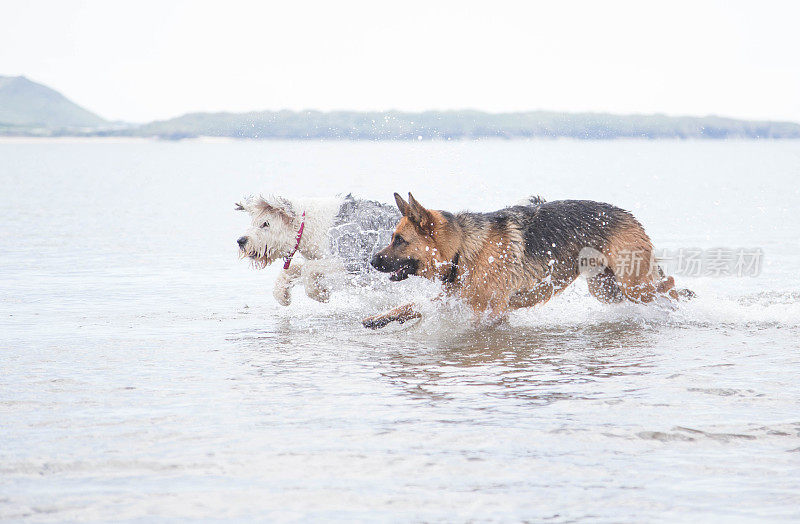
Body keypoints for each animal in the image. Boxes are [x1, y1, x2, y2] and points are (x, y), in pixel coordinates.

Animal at [236, 194, 400, 304]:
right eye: (253, 222)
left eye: (266, 223)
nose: (241, 241)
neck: (308, 225)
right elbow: (294, 268)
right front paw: (282, 295)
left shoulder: (354, 260)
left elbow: (308, 268)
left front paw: (320, 293)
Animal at [362, 194, 688, 330]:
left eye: (399, 240)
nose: (372, 261)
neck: (463, 248)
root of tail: (630, 216)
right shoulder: (454, 298)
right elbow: (411, 305)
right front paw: (378, 318)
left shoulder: (490, 311)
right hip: (607, 290)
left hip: (633, 285)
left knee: (669, 284)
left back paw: (679, 308)